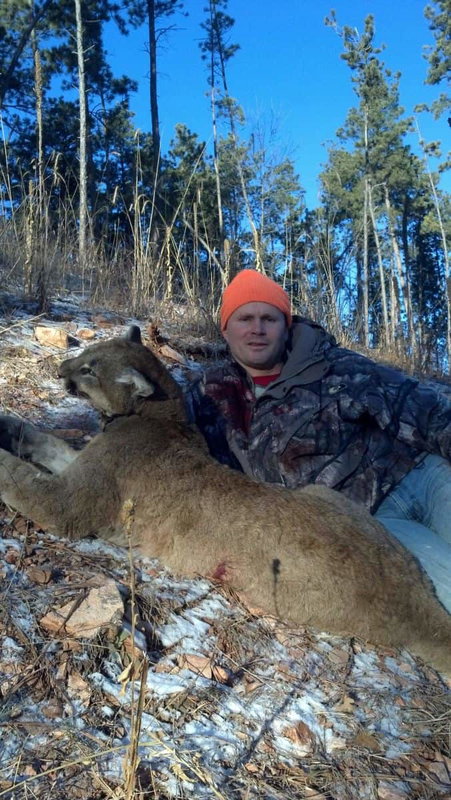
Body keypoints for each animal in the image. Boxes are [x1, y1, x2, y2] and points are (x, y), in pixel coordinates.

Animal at [0, 326, 450, 673]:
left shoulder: (68, 503)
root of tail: (418, 600)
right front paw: (10, 424)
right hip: (327, 493)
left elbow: (21, 477)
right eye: (85, 356)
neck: (153, 413)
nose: (59, 369)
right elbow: (48, 442)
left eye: (89, 368)